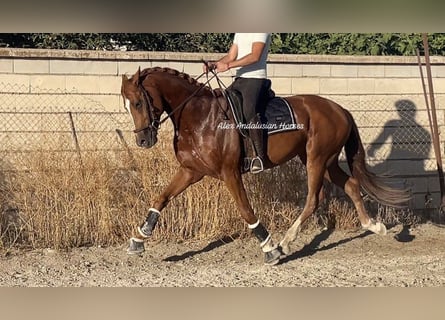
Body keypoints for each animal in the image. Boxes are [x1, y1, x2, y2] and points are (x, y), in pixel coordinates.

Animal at [119, 65, 410, 264]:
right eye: (127, 105)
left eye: (138, 102)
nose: (143, 140)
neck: (199, 116)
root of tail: (340, 109)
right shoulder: (191, 171)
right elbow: (162, 198)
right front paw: (139, 238)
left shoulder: (230, 173)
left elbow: (246, 210)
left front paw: (269, 248)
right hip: (322, 160)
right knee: (350, 184)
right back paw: (373, 225)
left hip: (317, 159)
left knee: (314, 199)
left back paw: (286, 241)